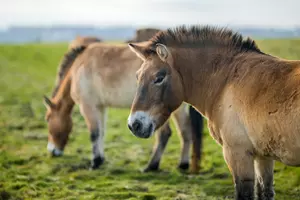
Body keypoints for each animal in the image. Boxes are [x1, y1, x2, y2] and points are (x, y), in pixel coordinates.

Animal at [44, 34, 204, 172]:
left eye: (47, 119)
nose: (52, 151)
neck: (78, 67)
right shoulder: (101, 107)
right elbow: (101, 132)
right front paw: (100, 159)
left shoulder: (88, 106)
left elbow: (94, 133)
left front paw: (95, 163)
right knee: (185, 130)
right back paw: (182, 164)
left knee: (165, 134)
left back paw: (152, 166)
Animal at [126, 25, 300, 200]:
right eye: (137, 76)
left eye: (159, 77)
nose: (134, 124)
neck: (227, 81)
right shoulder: (263, 156)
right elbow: (264, 191)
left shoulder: (238, 154)